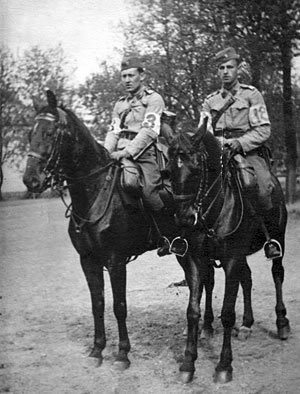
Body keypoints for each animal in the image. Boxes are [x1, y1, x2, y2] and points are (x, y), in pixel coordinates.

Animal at [166, 119, 290, 382]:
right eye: (168, 170)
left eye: (196, 169)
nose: (184, 219)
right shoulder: (196, 260)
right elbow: (193, 310)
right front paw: (188, 363)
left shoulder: (232, 259)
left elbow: (227, 312)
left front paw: (224, 365)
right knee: (248, 278)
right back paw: (247, 324)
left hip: (278, 238)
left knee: (277, 274)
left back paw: (282, 322)